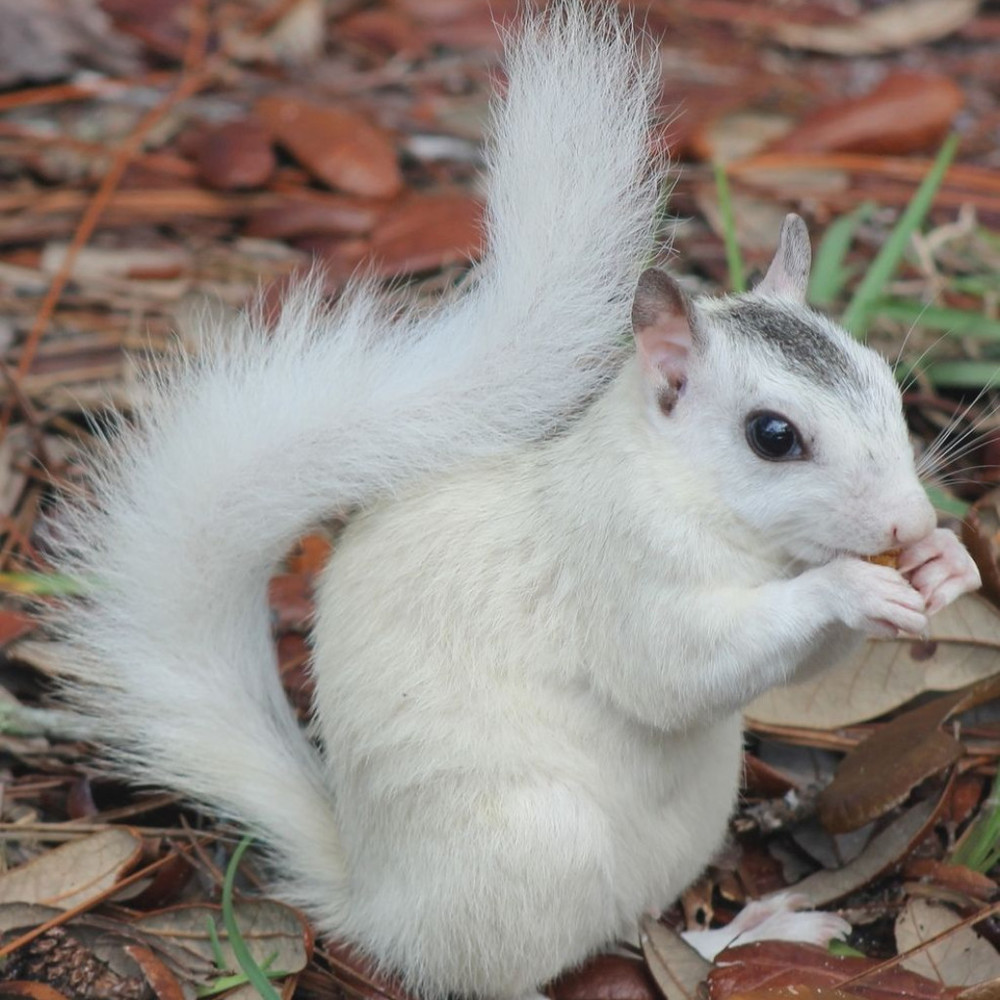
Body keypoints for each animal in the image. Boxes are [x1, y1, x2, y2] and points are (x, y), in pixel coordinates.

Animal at [46, 2, 981, 998]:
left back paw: (749, 931)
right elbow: (675, 670)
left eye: (884, 381)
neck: (704, 503)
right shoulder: (617, 559)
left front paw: (946, 564)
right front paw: (849, 585)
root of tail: (378, 906)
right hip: (536, 849)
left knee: (637, 931)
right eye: (773, 436)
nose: (908, 521)